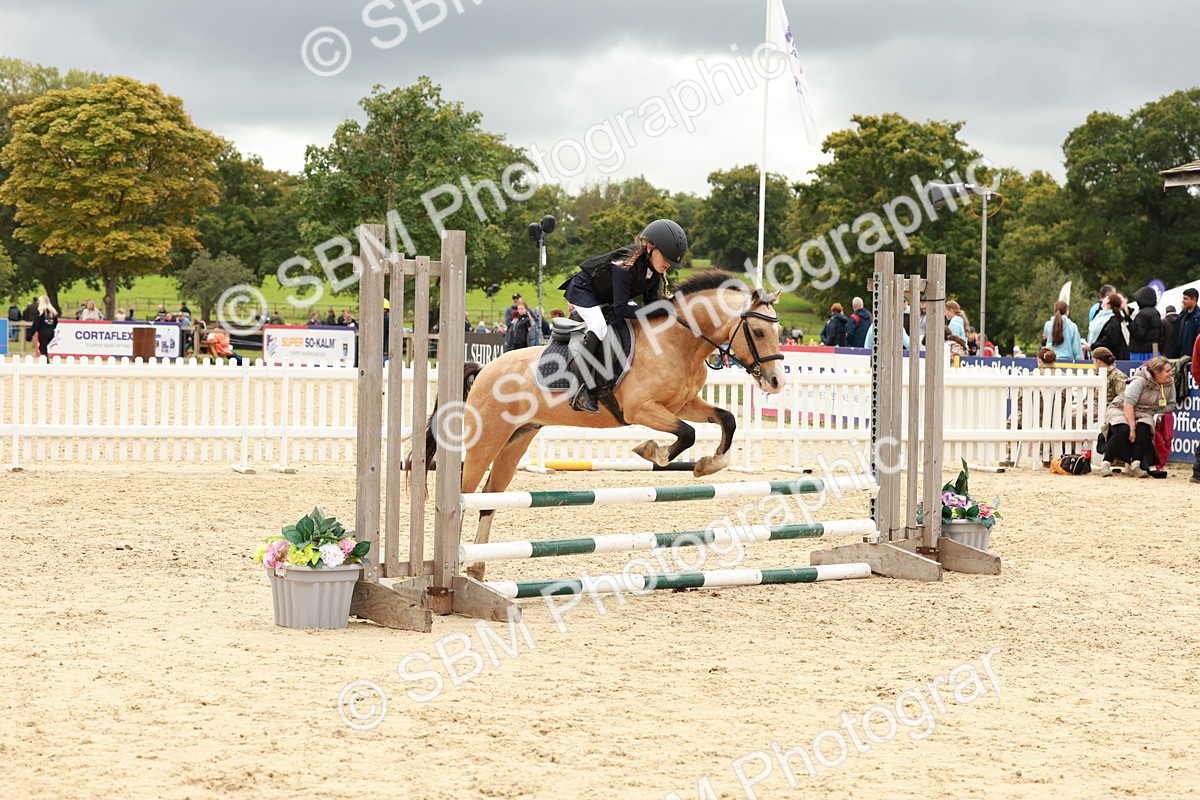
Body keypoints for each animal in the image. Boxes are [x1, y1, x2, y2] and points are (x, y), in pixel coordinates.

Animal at [418, 270, 787, 580]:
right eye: (758, 332)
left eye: (779, 332)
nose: (775, 381)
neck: (677, 343)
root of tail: (485, 369)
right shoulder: (642, 409)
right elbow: (686, 433)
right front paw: (652, 451)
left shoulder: (684, 405)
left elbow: (727, 419)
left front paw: (709, 464)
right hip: (487, 440)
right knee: (464, 494)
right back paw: (452, 567)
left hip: (516, 440)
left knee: (490, 497)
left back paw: (477, 567)